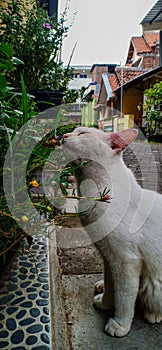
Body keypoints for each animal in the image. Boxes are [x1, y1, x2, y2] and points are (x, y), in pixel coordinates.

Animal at [62, 127, 162, 338]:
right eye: (73, 131)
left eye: (82, 133)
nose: (64, 136)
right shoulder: (108, 256)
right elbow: (111, 286)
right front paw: (105, 302)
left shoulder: (126, 261)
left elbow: (124, 297)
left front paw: (120, 324)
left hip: (154, 281)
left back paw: (153, 314)